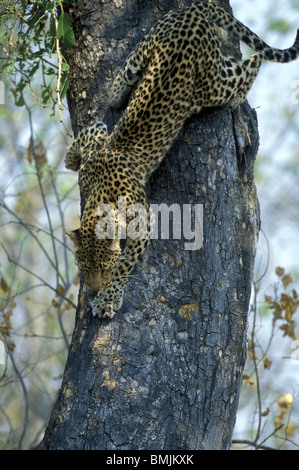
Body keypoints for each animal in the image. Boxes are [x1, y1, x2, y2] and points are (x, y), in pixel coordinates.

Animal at [66, 0, 299, 320]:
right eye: (82, 267)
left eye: (103, 267)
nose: (95, 287)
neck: (101, 195)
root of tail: (192, 11)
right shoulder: (96, 144)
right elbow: (90, 132)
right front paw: (69, 158)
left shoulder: (143, 220)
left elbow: (126, 262)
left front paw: (108, 298)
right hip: (147, 50)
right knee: (131, 70)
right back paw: (116, 92)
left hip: (213, 84)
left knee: (250, 64)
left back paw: (242, 87)